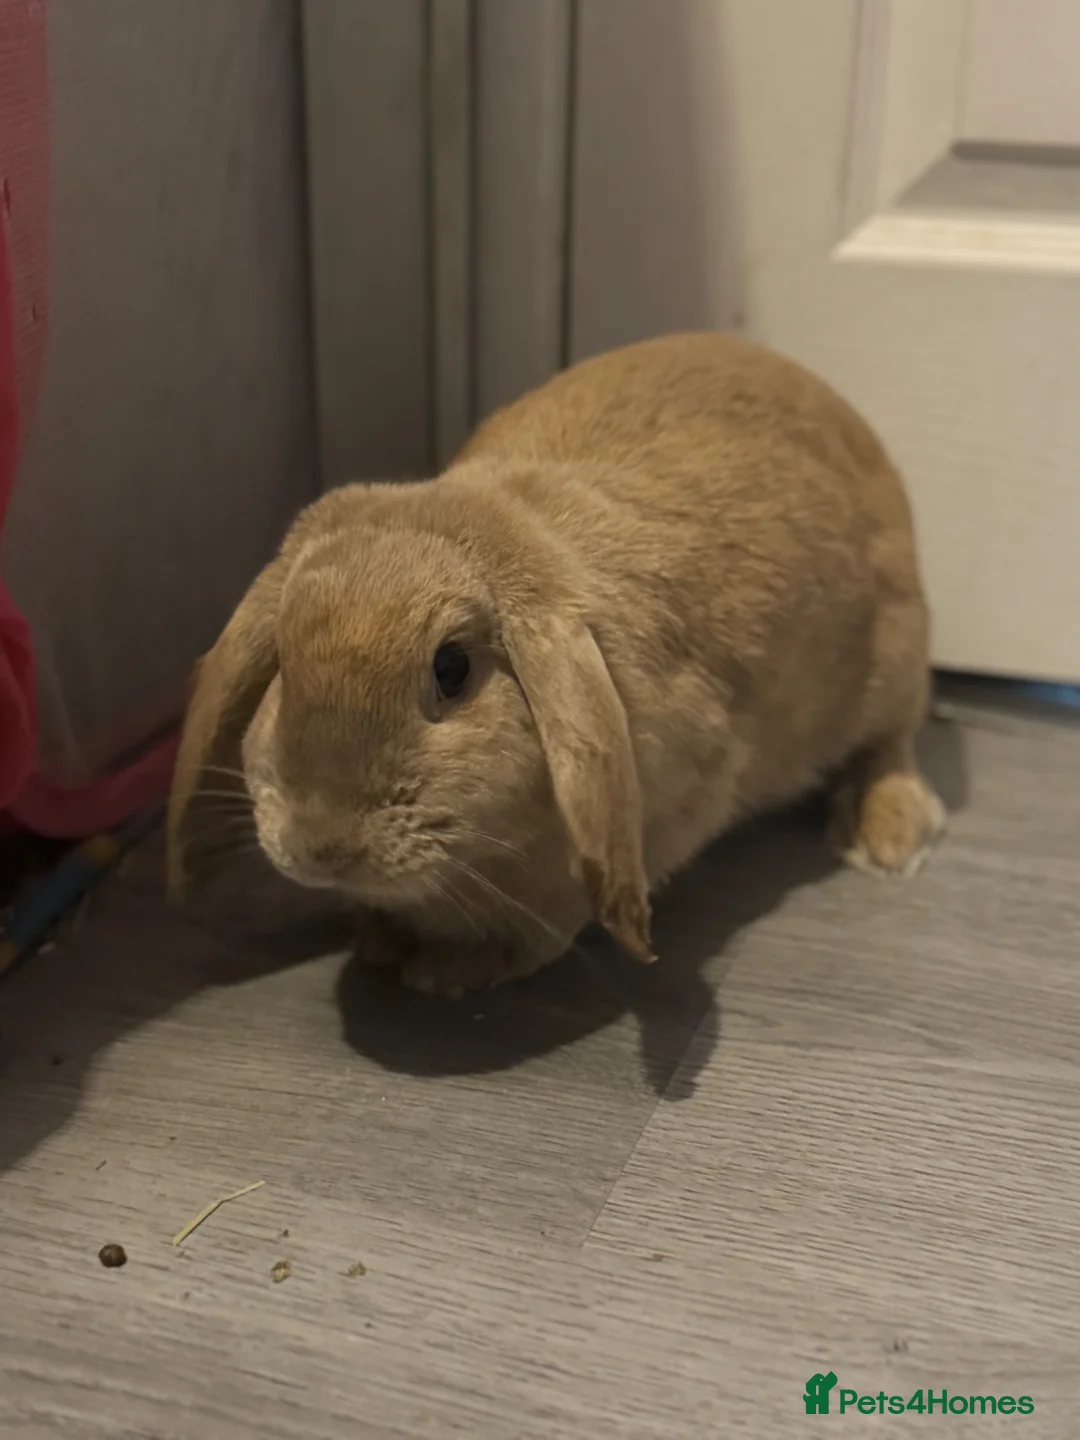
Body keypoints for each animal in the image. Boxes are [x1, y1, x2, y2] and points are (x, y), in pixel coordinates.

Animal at [167, 332, 944, 997]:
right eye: (283, 664)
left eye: (452, 670)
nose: (320, 846)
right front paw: (378, 940)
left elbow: (553, 910)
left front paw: (455, 968)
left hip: (896, 662)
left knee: (890, 745)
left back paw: (887, 836)